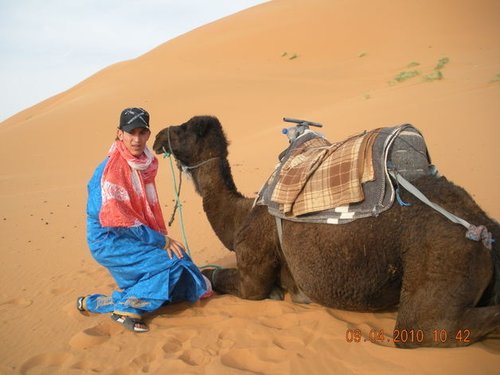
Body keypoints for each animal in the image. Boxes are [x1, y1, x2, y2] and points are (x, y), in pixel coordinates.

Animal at [152, 116, 500, 348]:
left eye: (183, 128)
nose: (157, 136)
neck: (241, 215)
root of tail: (482, 226)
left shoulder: (252, 269)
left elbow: (215, 275)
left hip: (442, 260)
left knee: (425, 326)